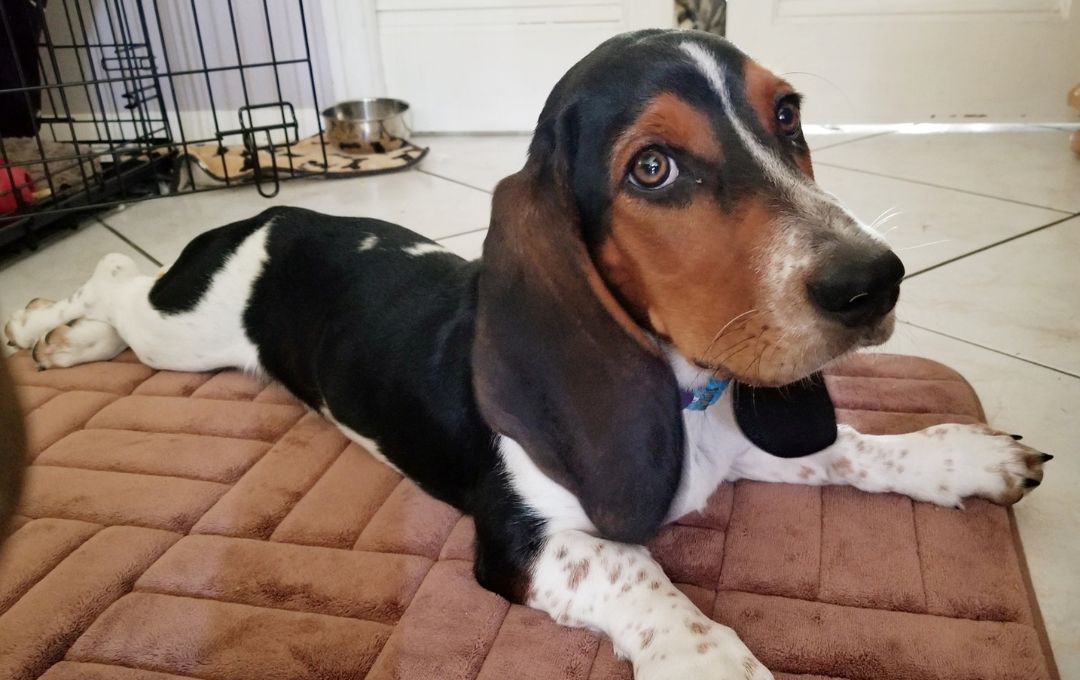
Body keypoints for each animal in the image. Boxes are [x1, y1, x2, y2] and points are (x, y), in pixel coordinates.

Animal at [4, 27, 1049, 680]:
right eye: (652, 168)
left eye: (788, 113)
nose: (875, 280)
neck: (687, 393)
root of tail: (272, 212)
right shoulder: (523, 541)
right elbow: (639, 573)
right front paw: (712, 657)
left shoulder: (750, 434)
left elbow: (854, 448)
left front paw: (966, 455)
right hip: (186, 332)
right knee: (113, 272)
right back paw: (44, 325)